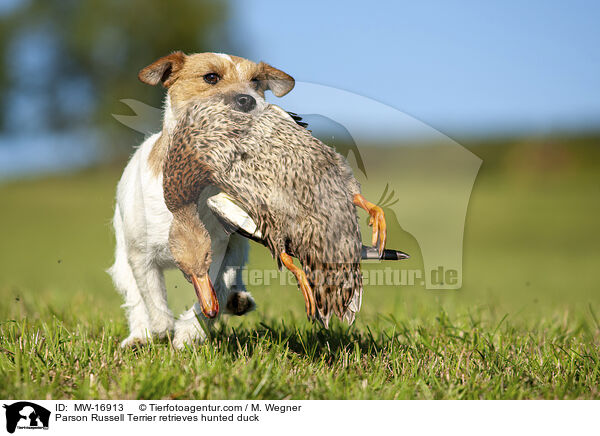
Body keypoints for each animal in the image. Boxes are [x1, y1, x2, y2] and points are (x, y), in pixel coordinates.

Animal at [109, 51, 296, 348]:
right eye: (211, 77)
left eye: (256, 81)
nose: (248, 100)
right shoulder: (140, 256)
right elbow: (152, 300)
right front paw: (162, 328)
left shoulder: (217, 250)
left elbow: (212, 290)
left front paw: (189, 332)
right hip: (122, 260)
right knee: (136, 300)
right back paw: (139, 336)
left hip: (238, 245)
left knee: (230, 279)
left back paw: (236, 300)